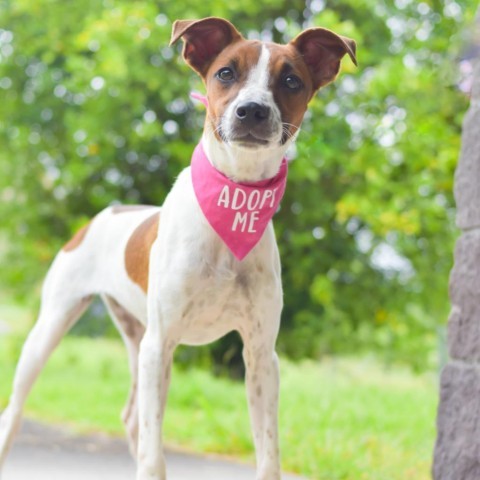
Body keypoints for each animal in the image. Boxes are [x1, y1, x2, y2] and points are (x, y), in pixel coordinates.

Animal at [0, 15, 356, 480]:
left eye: (291, 81)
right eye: (226, 73)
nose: (252, 110)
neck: (233, 199)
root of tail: (107, 213)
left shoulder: (261, 355)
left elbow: (267, 455)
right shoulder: (161, 344)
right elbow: (154, 455)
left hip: (136, 336)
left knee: (132, 417)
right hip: (55, 327)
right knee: (16, 411)